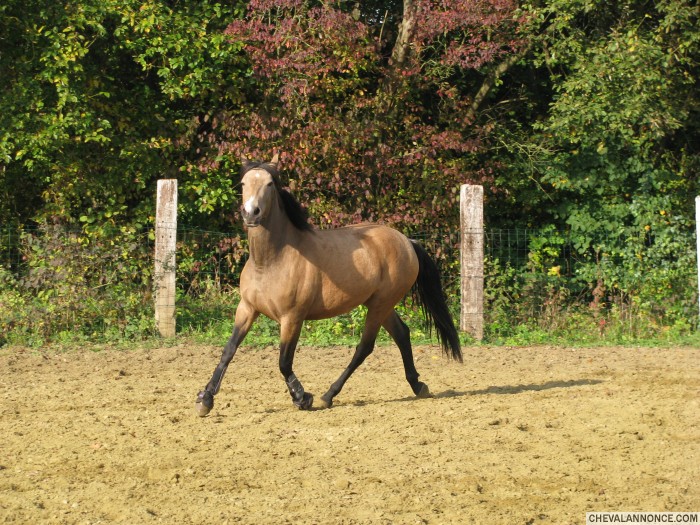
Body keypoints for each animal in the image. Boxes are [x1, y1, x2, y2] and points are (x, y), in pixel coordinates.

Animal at [195, 154, 462, 416]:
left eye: (270, 184)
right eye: (243, 184)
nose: (251, 213)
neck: (271, 261)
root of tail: (407, 241)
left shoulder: (292, 317)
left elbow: (284, 361)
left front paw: (302, 397)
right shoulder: (247, 308)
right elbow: (228, 351)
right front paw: (205, 399)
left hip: (380, 304)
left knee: (364, 347)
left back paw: (328, 395)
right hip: (381, 304)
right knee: (402, 334)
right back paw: (418, 385)